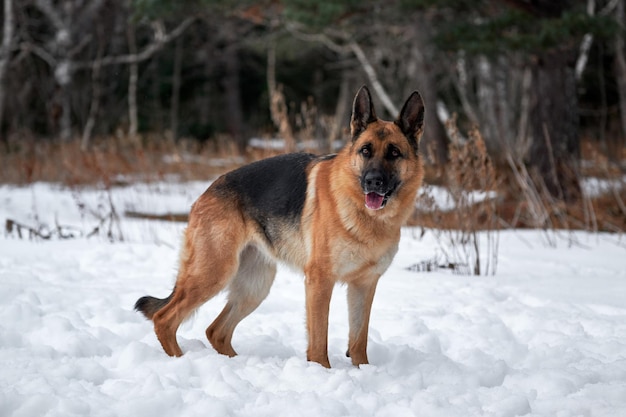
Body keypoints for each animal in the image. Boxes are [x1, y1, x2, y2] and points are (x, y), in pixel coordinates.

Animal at [136, 85, 424, 368]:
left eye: (394, 153)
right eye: (365, 150)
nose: (373, 182)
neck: (366, 216)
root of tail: (206, 192)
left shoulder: (364, 286)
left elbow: (358, 341)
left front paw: (362, 371)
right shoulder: (320, 281)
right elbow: (319, 341)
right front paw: (320, 372)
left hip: (255, 286)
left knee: (216, 331)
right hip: (214, 272)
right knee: (165, 319)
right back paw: (180, 361)